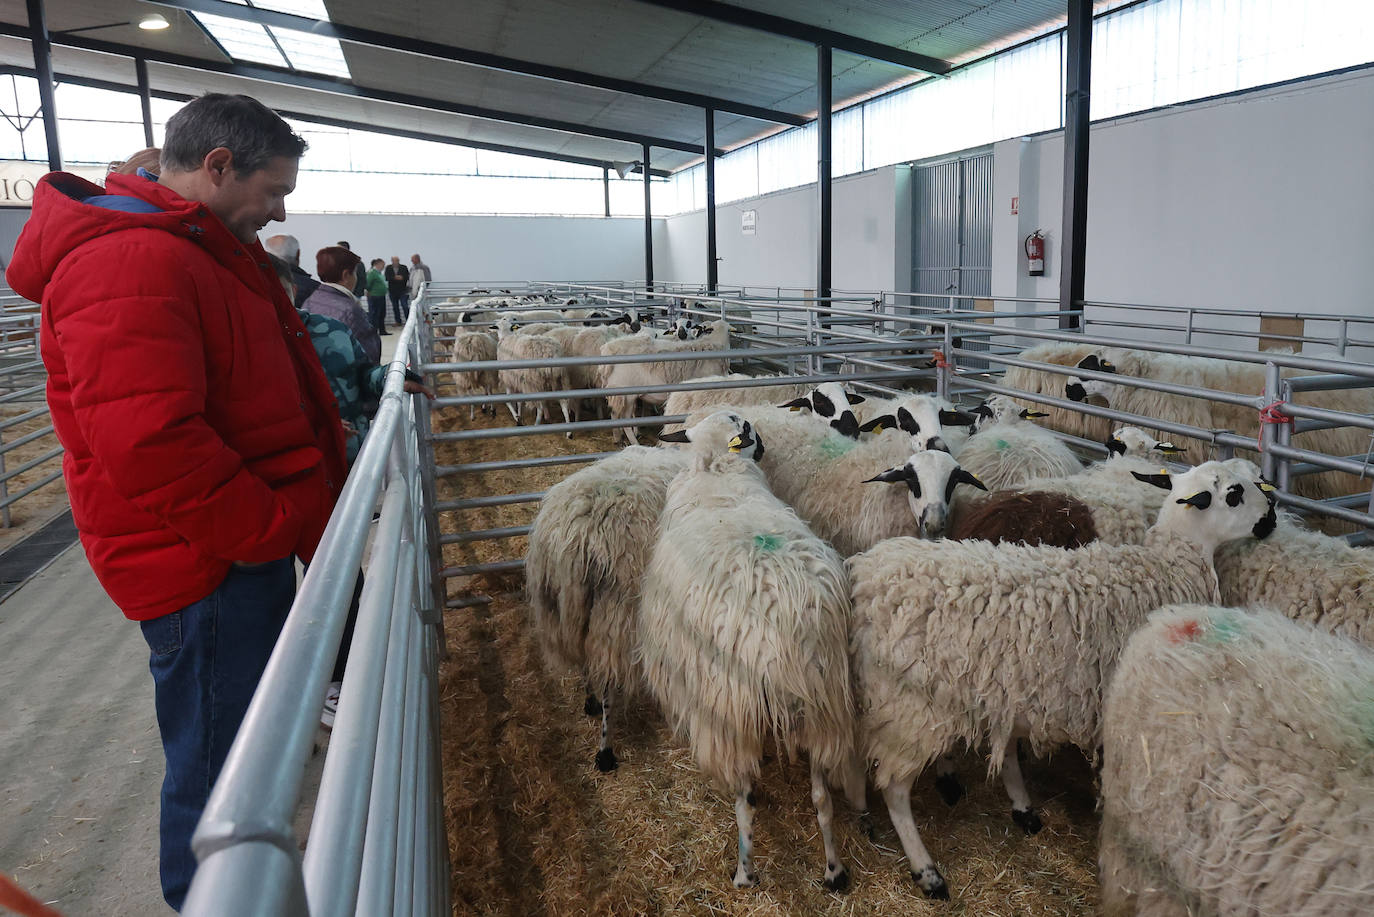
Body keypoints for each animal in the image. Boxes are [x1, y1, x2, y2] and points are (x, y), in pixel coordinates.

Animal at [640, 412, 857, 890]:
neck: (719, 469)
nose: (766, 446)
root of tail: (783, 631)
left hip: (731, 711)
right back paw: (833, 869)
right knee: (821, 796)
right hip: (824, 707)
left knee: (747, 797)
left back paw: (745, 871)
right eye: (748, 427)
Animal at [840, 459, 1280, 896]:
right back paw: (926, 871)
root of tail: (863, 580)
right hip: (910, 710)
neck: (1173, 565)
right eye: (1235, 493)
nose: (1272, 518)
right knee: (894, 789)